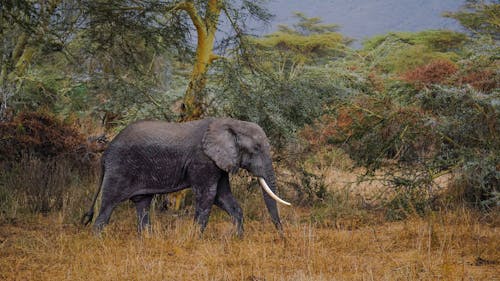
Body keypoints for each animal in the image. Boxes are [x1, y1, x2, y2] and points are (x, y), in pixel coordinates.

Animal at [80, 117, 292, 235]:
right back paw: (98, 241)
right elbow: (207, 196)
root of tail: (106, 152)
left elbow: (222, 197)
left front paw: (237, 239)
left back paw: (146, 239)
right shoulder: (203, 160)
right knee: (108, 206)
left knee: (143, 205)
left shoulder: (218, 163)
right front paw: (196, 239)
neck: (231, 123)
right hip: (119, 168)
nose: (282, 235)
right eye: (256, 149)